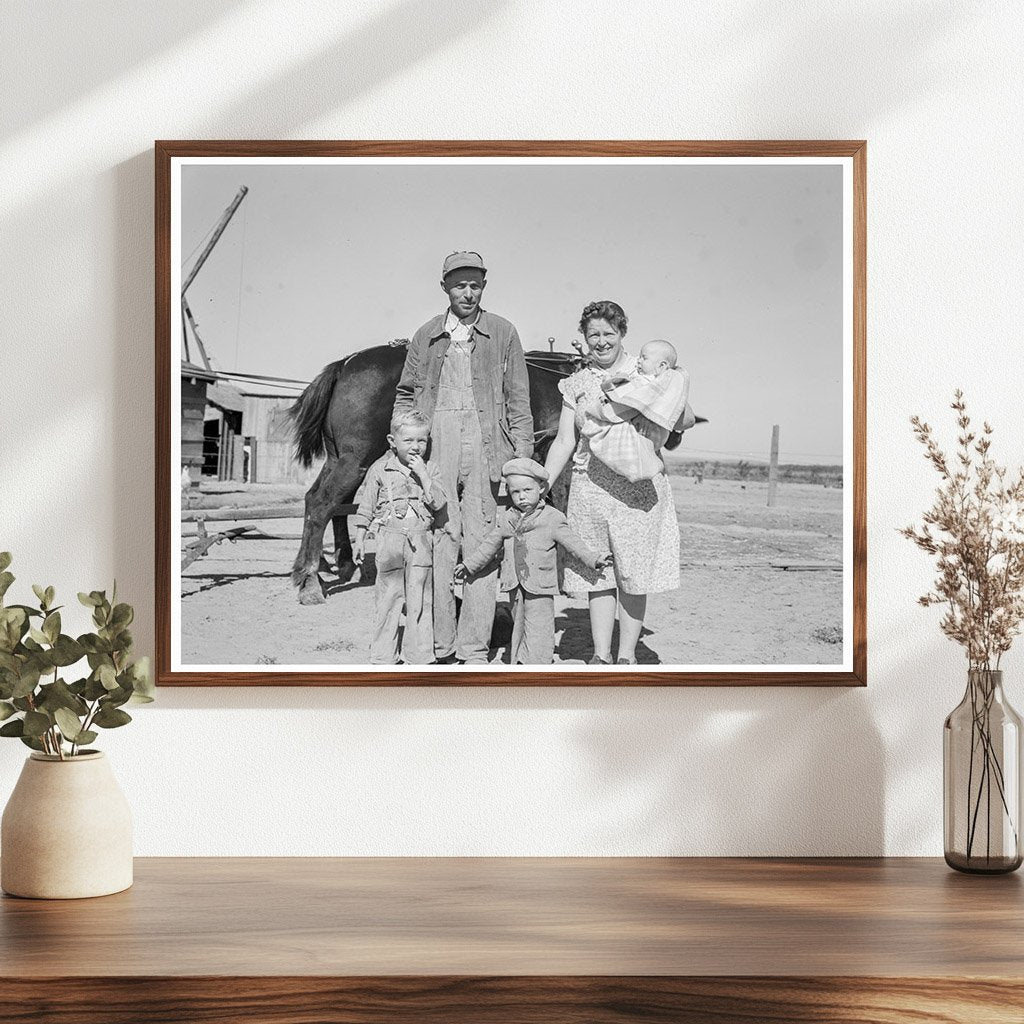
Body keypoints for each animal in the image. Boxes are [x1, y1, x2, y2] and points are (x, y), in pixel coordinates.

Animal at [290, 346, 696, 598]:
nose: (680, 429)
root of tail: (346, 363)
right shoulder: (556, 454)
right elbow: (562, 505)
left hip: (342, 458)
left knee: (327, 503)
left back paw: (332, 565)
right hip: (353, 459)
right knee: (323, 502)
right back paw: (310, 579)